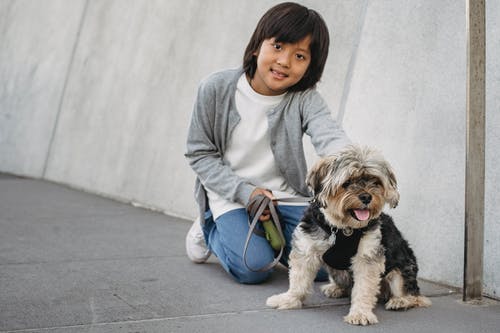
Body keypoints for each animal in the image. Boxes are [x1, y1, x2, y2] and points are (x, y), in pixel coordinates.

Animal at [268, 145, 432, 324]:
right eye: (346, 183)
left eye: (375, 181)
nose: (367, 197)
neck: (343, 228)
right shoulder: (307, 247)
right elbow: (299, 280)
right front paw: (288, 299)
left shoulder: (367, 256)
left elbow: (364, 288)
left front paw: (360, 313)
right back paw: (336, 288)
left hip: (403, 268)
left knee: (412, 294)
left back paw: (400, 300)